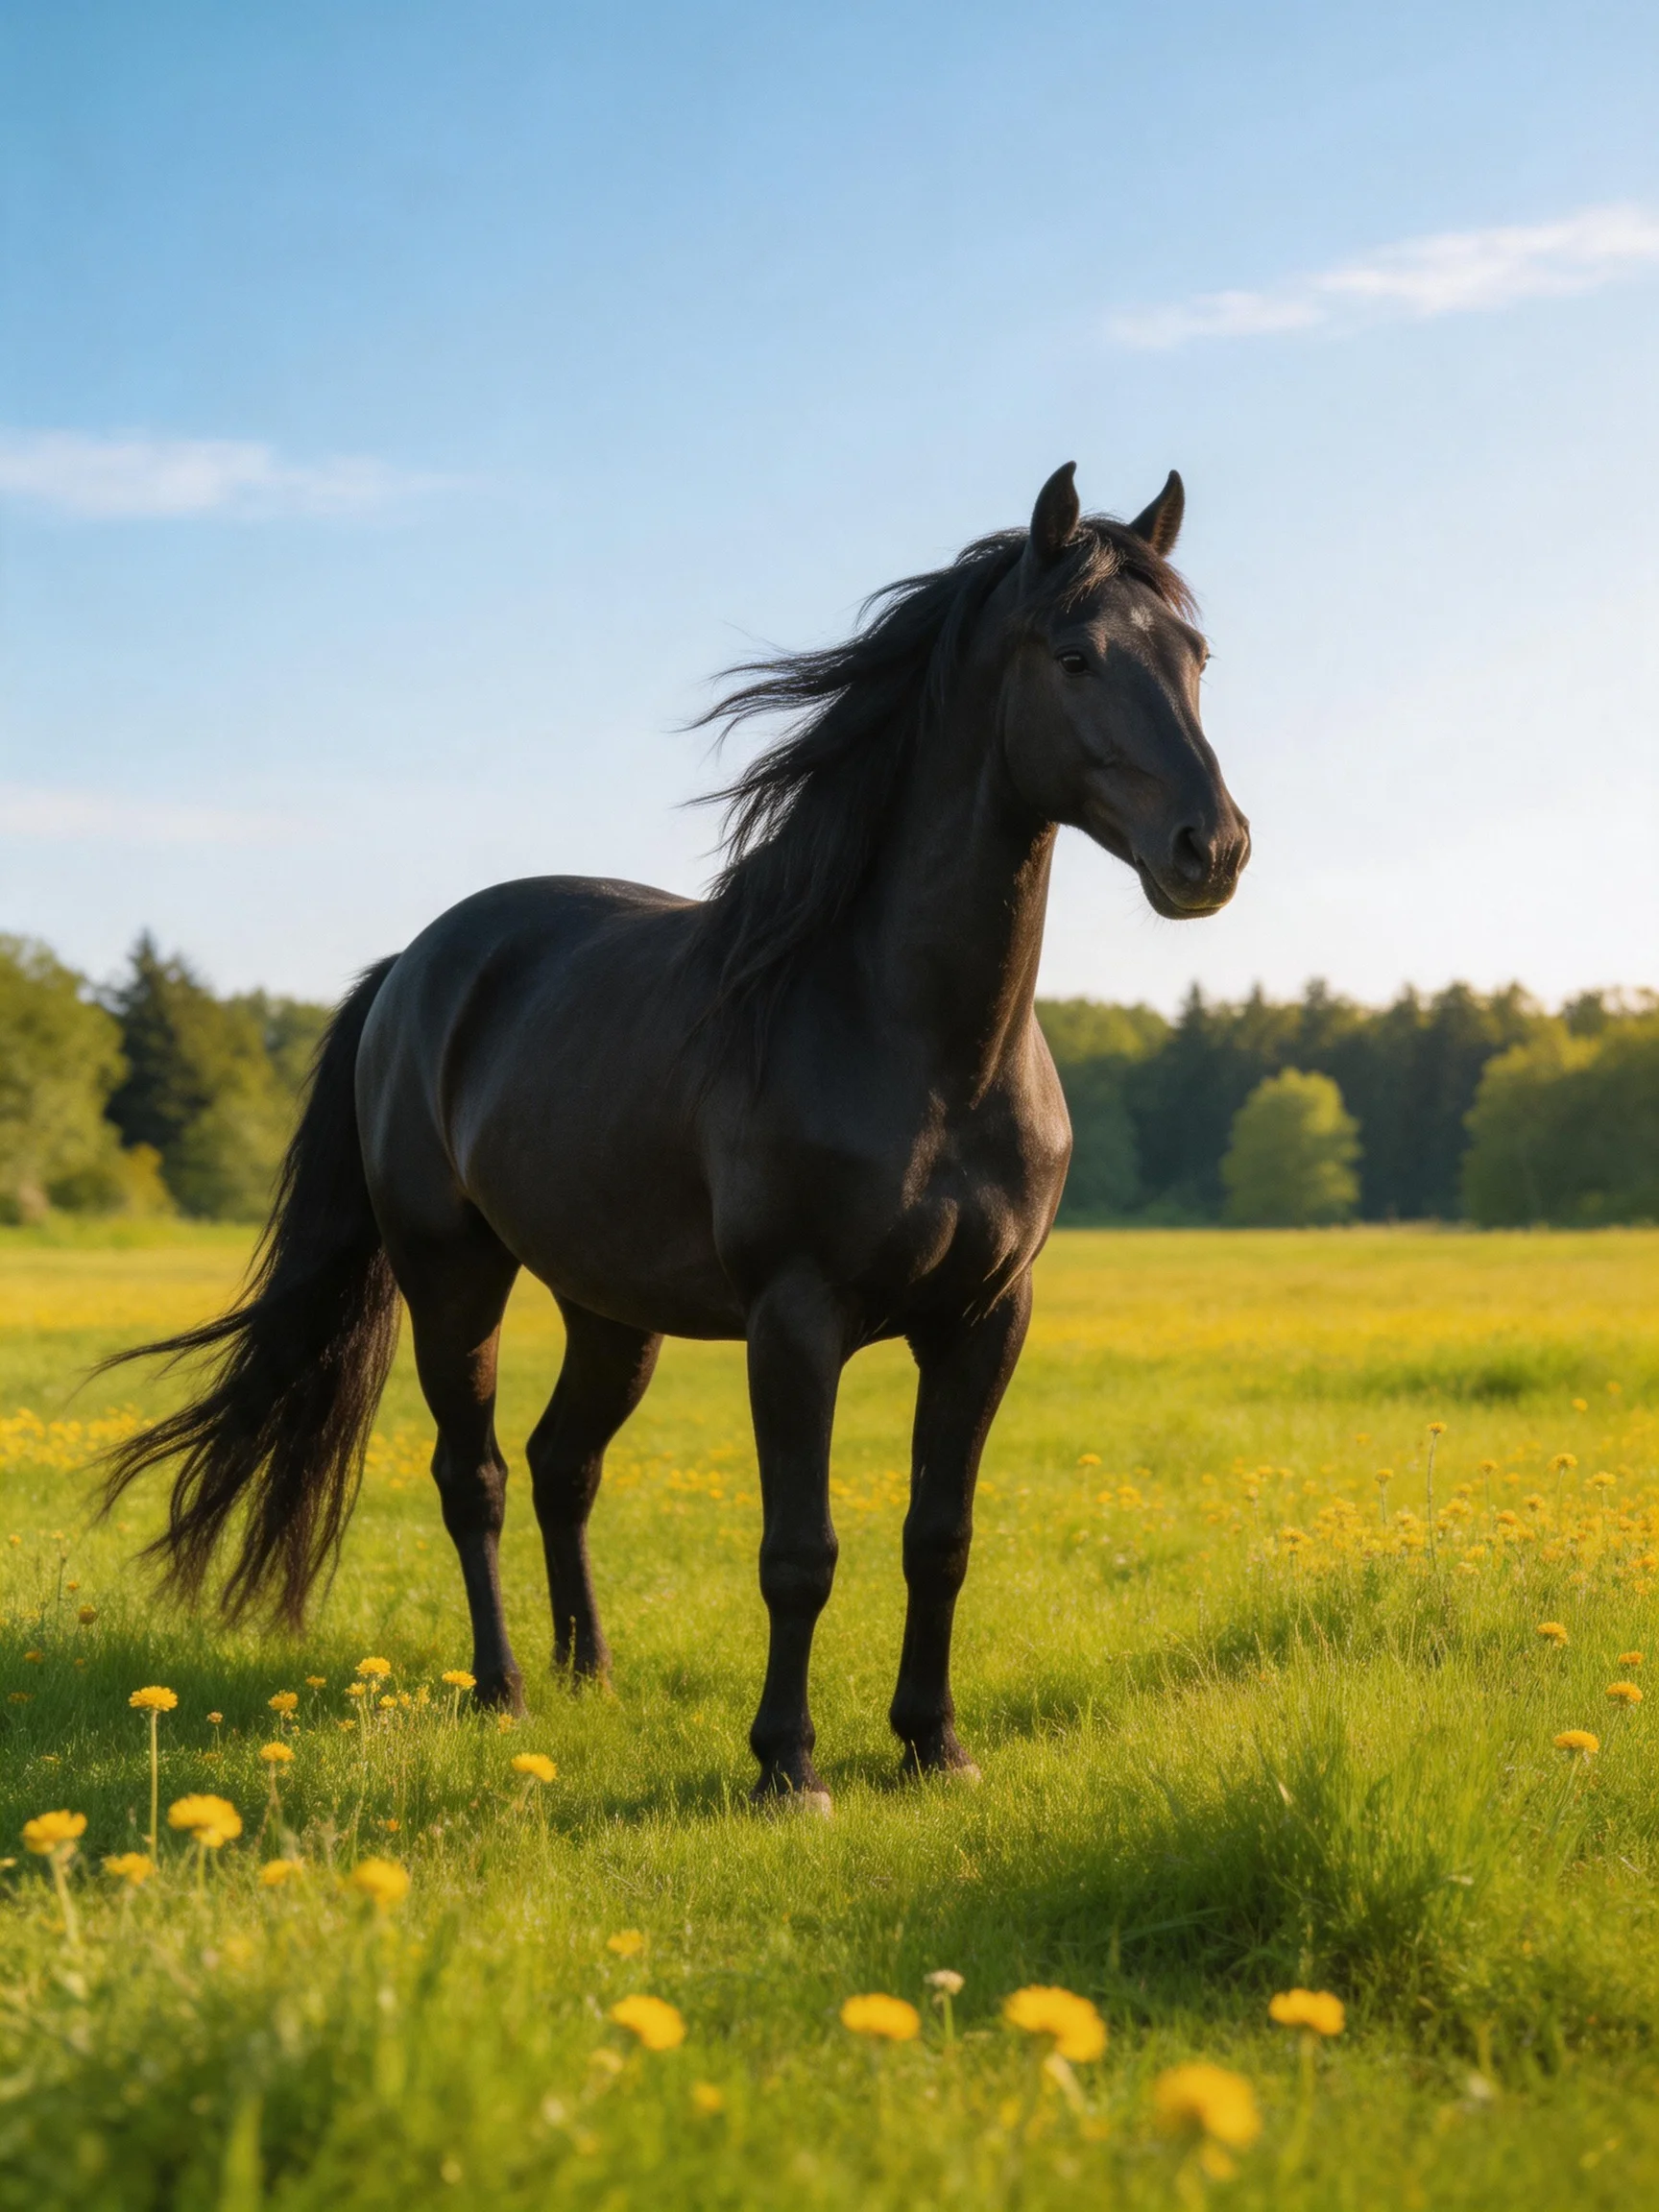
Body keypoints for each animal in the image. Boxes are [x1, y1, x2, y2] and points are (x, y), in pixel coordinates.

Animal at [102, 462, 1249, 1812]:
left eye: (1196, 656)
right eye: (1075, 656)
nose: (1212, 849)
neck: (914, 1042)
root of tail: (414, 969)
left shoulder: (984, 1321)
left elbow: (940, 1539)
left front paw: (934, 1746)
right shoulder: (795, 1321)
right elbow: (800, 1551)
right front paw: (788, 1768)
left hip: (611, 1310)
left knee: (562, 1465)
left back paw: (588, 1670)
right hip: (454, 1279)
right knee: (475, 1477)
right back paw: (504, 1689)